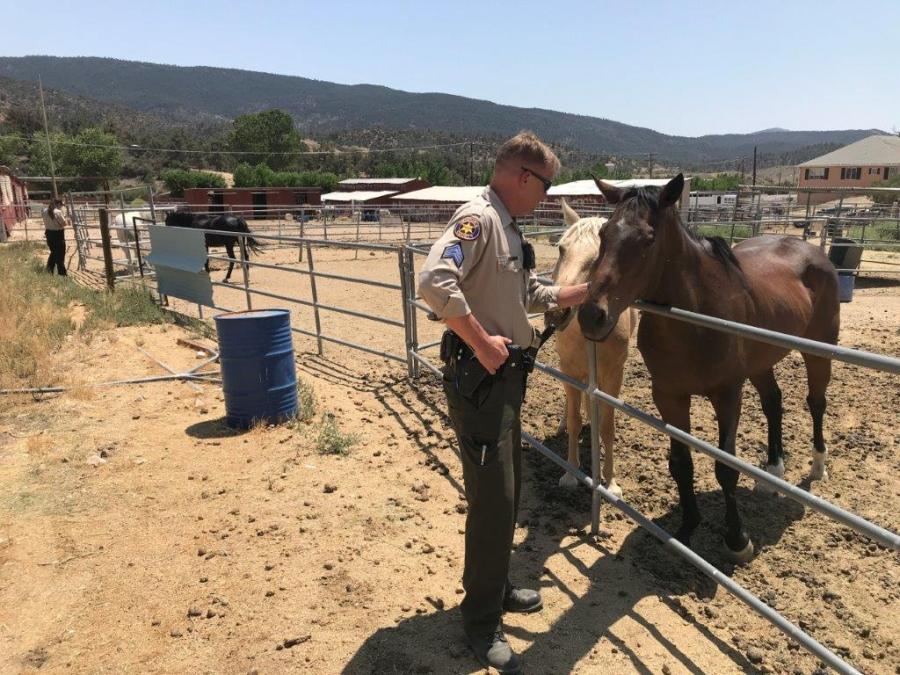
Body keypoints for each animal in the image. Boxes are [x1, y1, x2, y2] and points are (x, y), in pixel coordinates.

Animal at [544, 198, 636, 500]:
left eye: (599, 256)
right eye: (561, 249)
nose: (556, 310)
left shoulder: (613, 375)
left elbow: (608, 425)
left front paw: (610, 482)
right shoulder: (569, 369)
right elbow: (575, 419)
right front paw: (570, 473)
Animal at [576, 174, 836, 564]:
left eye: (648, 239)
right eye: (605, 234)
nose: (592, 315)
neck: (696, 318)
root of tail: (812, 251)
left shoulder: (727, 395)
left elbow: (725, 467)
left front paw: (737, 539)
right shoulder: (669, 395)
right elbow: (681, 463)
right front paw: (686, 528)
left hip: (819, 351)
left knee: (816, 402)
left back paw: (817, 465)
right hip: (760, 363)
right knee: (773, 402)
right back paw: (772, 469)